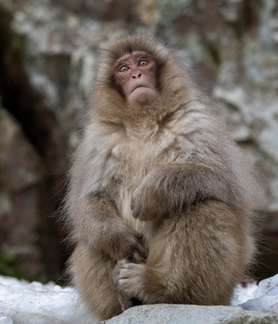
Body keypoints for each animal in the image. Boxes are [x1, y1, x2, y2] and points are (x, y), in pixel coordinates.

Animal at [64, 34, 262, 320]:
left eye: (143, 63)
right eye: (123, 68)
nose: (135, 75)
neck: (142, 124)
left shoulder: (198, 123)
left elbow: (226, 182)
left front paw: (151, 193)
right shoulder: (96, 142)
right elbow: (89, 201)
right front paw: (120, 239)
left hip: (224, 283)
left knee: (203, 206)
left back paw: (162, 289)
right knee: (91, 240)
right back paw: (126, 301)